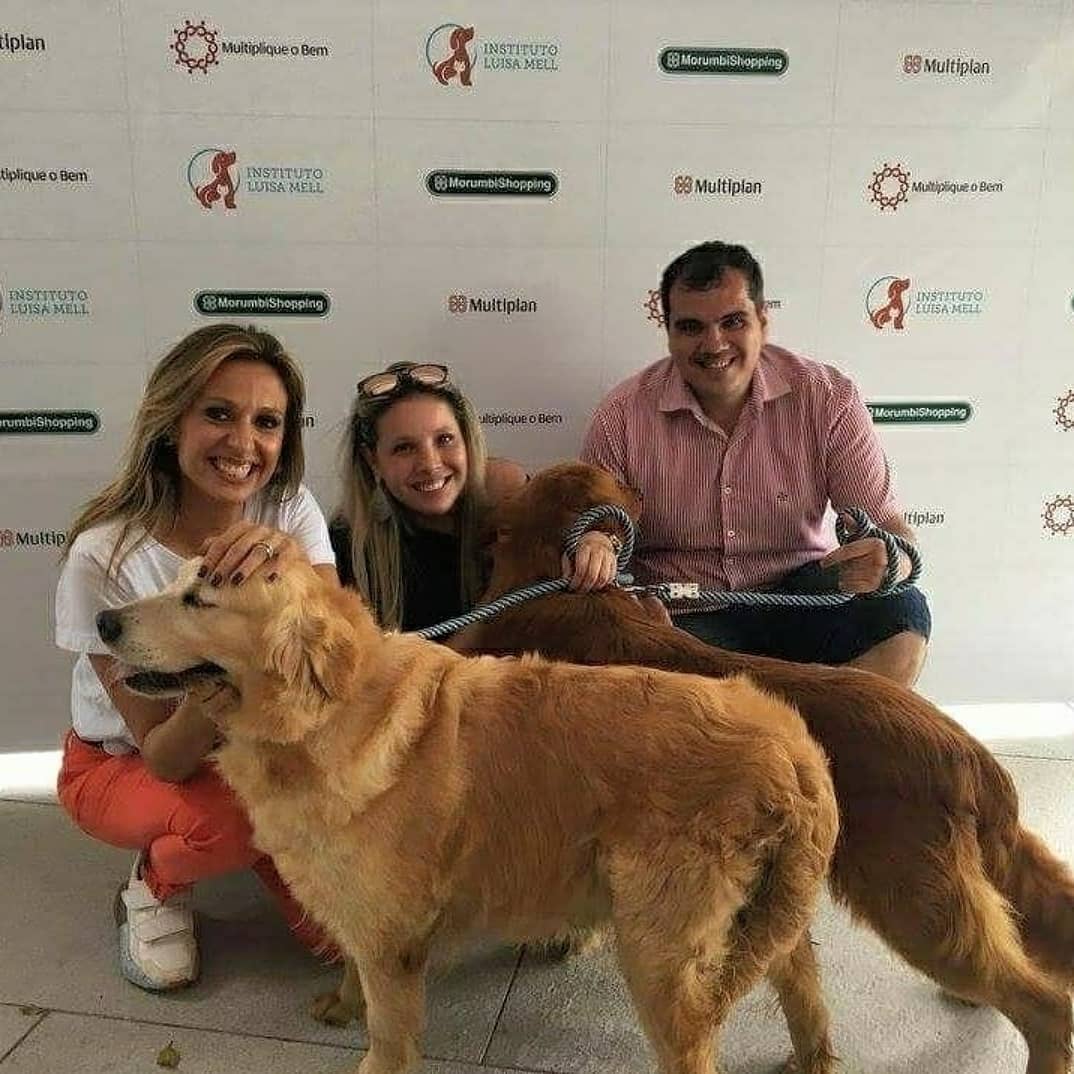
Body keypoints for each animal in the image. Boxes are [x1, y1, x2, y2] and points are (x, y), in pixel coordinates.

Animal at [96, 562, 837, 1074]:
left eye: (200, 599)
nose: (102, 622)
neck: (322, 712)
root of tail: (792, 744)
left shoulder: (393, 938)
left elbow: (390, 1035)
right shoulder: (362, 910)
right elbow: (352, 965)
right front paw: (342, 1002)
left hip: (660, 952)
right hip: (764, 920)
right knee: (804, 987)